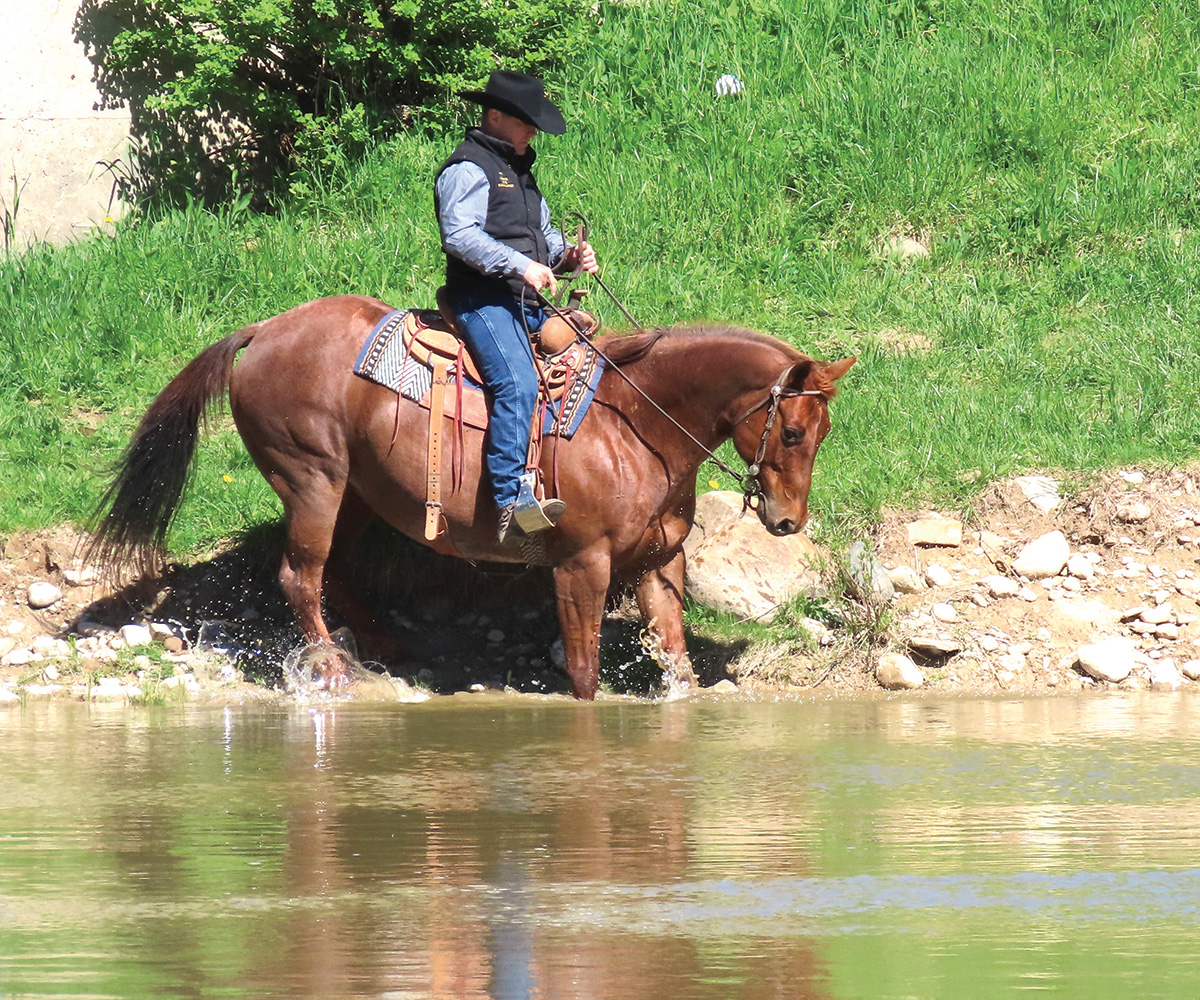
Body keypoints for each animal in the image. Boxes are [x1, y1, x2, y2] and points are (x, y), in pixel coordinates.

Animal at [91, 292, 854, 696]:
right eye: (791, 431)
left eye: (823, 431)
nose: (788, 521)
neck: (636, 424)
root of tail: (264, 330)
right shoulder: (581, 567)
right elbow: (584, 674)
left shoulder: (659, 563)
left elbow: (677, 662)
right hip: (312, 482)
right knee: (298, 576)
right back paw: (332, 669)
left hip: (358, 493)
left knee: (335, 572)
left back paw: (382, 643)